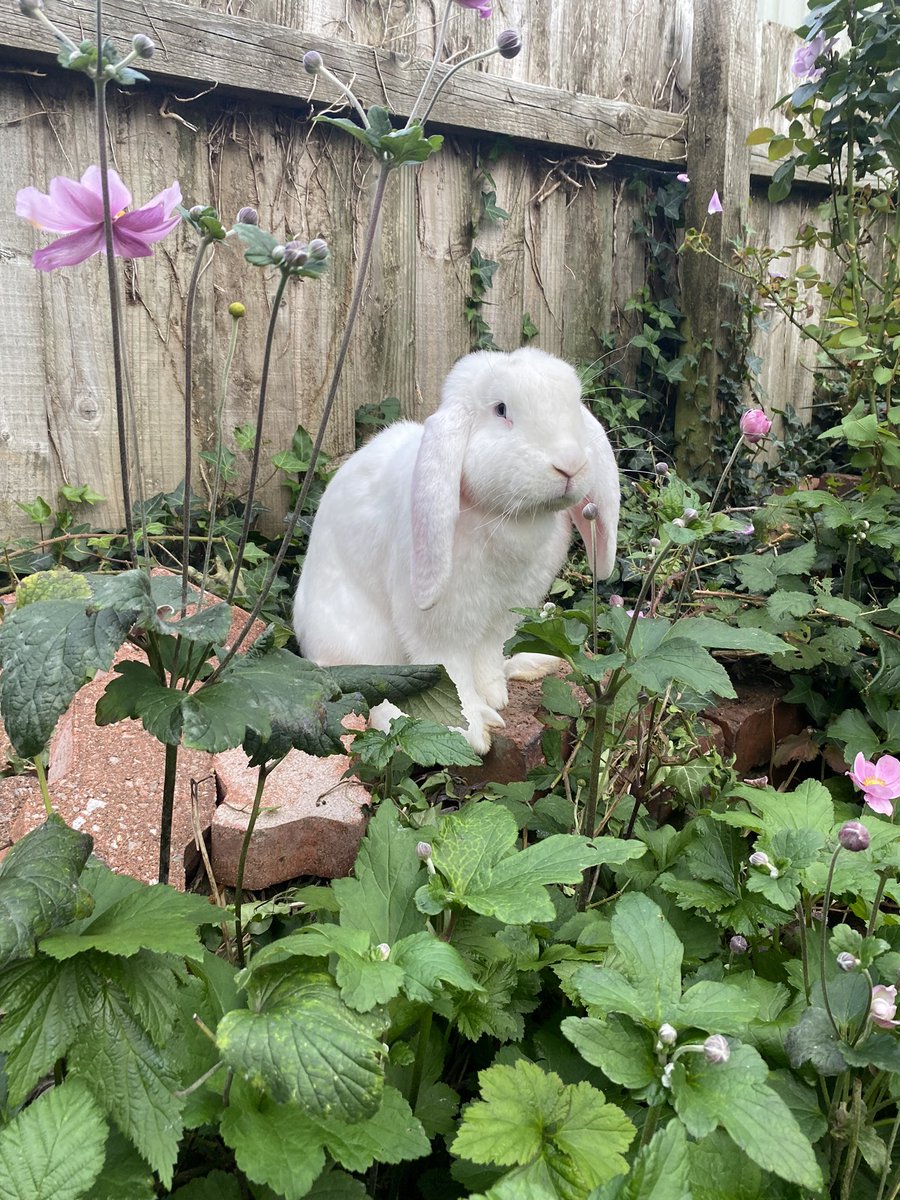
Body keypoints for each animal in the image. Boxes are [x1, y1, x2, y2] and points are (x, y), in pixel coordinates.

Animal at [296, 345, 619, 748]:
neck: (507, 517)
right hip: (362, 647)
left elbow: (488, 658)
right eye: (501, 409)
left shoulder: (504, 615)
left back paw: (529, 663)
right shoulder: (440, 631)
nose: (570, 465)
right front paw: (475, 730)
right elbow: (452, 676)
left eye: (575, 406)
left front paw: (496, 696)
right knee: (370, 693)